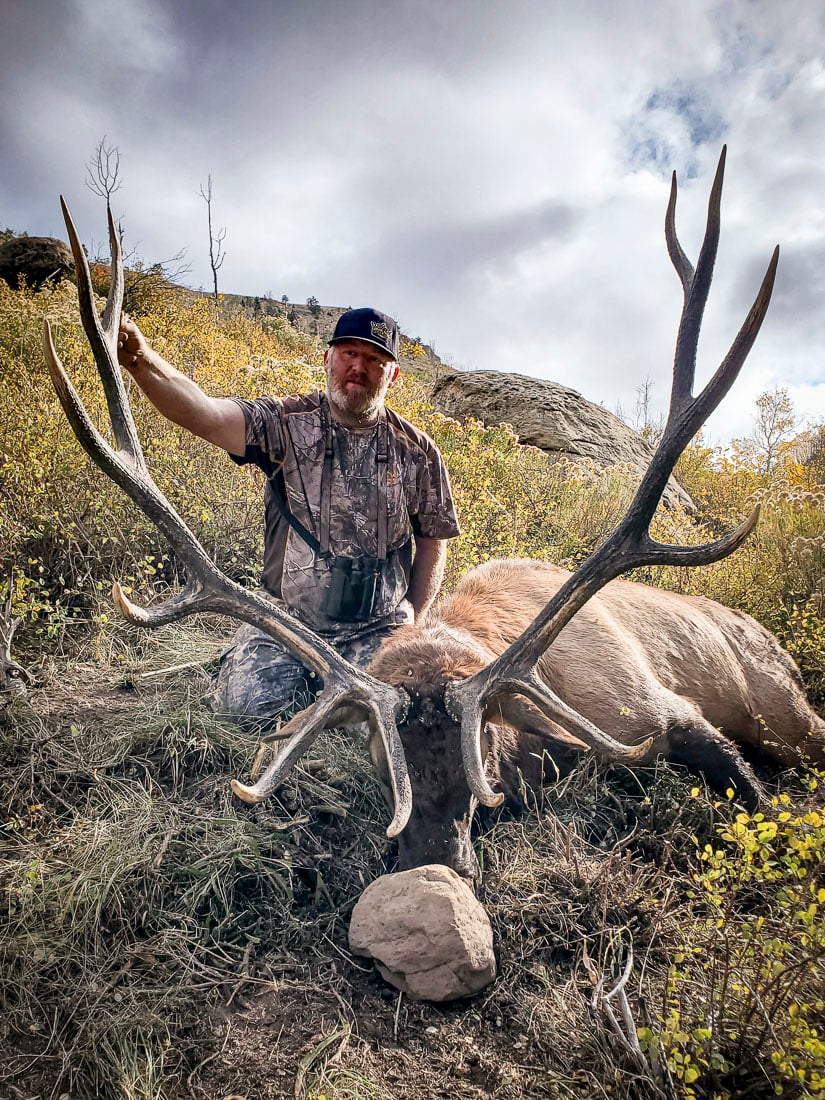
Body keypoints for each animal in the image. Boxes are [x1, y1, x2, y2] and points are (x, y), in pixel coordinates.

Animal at [43, 147, 825, 882]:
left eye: (486, 748)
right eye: (373, 752)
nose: (432, 860)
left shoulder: (654, 708)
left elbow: (752, 791)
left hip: (783, 705)